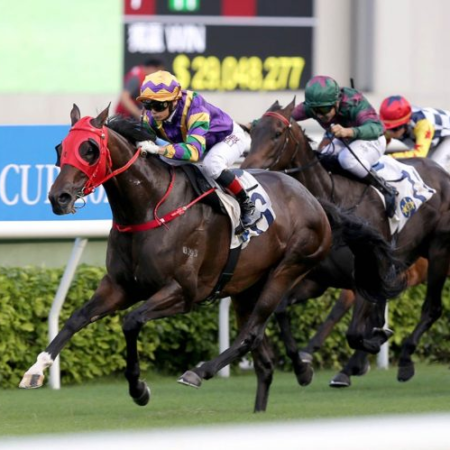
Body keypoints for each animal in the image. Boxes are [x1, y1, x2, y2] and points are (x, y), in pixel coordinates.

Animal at [19, 104, 402, 412]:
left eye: (90, 149)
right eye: (60, 147)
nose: (58, 197)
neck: (149, 207)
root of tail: (314, 200)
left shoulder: (183, 292)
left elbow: (131, 322)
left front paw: (139, 389)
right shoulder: (119, 286)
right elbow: (76, 318)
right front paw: (35, 371)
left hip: (288, 269)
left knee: (252, 333)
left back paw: (200, 371)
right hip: (246, 287)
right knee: (263, 358)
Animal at [243, 100, 450, 384]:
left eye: (277, 133)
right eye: (252, 132)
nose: (247, 168)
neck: (333, 197)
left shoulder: (363, 275)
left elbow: (354, 333)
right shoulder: (316, 280)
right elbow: (282, 310)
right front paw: (301, 367)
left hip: (439, 252)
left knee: (432, 308)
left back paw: (405, 360)